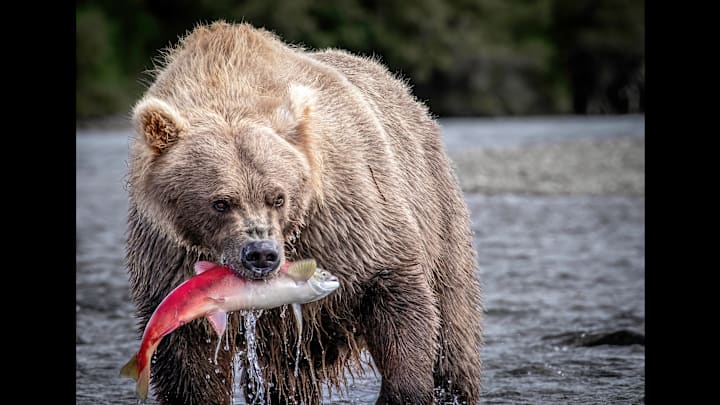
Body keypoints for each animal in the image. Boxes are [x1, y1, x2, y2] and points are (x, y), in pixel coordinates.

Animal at [125, 21, 483, 405]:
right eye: (221, 202)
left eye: (278, 197)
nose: (261, 254)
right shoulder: (170, 258)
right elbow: (189, 362)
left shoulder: (346, 221)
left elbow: (397, 296)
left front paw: (405, 390)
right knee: (285, 378)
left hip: (436, 207)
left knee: (453, 327)